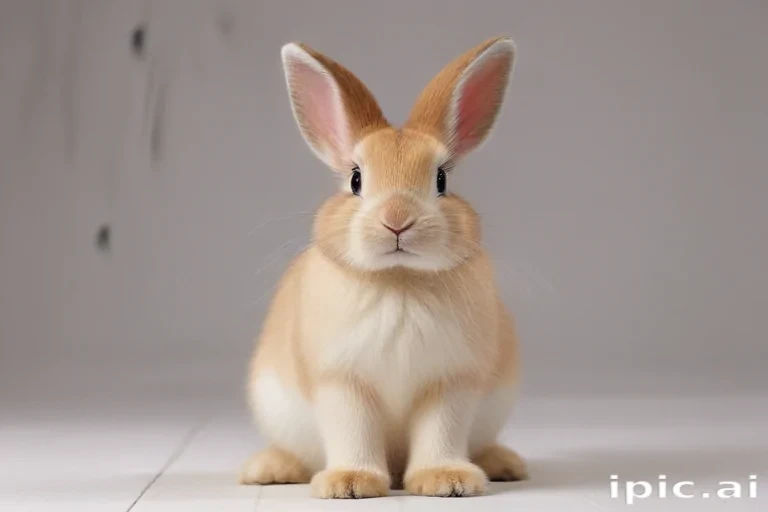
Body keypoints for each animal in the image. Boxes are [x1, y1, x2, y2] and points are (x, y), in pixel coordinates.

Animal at [240, 36, 527, 499]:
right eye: (355, 179)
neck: (399, 281)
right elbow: (353, 431)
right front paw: (350, 484)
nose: (398, 220)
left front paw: (448, 481)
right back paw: (268, 469)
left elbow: (441, 432)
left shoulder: (450, 382)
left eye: (442, 180)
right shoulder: (342, 382)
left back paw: (504, 464)